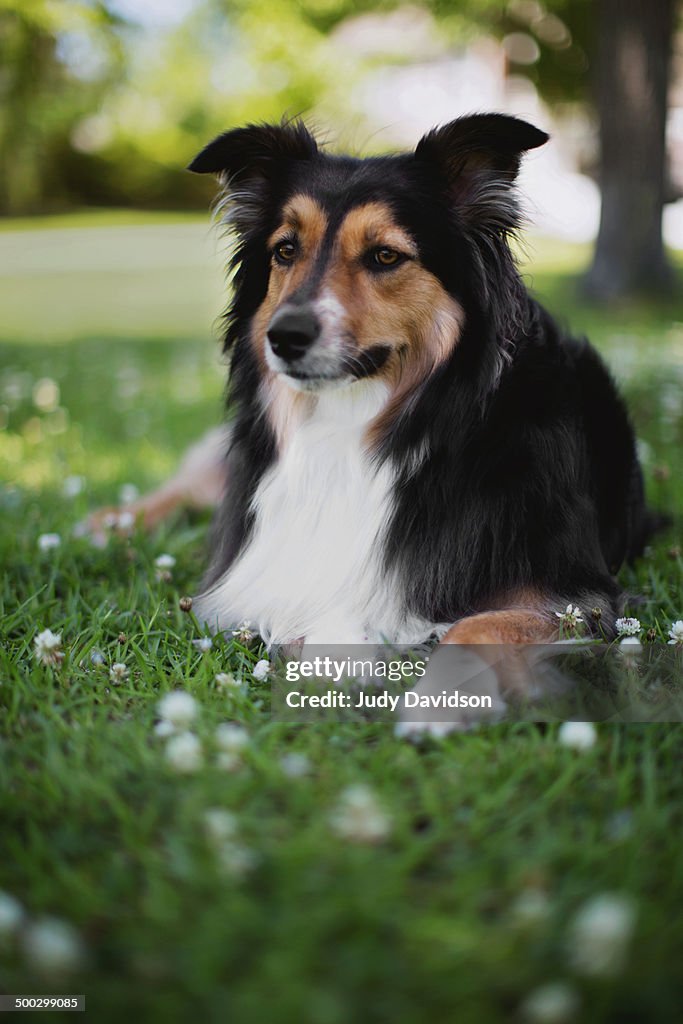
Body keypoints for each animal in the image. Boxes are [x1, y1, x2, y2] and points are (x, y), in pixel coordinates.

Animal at [85, 114, 655, 655]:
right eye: (285, 250)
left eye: (385, 255)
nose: (284, 337)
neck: (353, 422)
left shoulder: (576, 598)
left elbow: (472, 630)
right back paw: (110, 521)